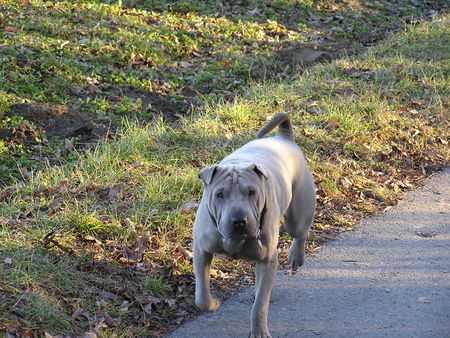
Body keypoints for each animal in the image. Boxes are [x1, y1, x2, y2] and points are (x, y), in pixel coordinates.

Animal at [193, 113, 316, 338]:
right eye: (220, 194)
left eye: (251, 192)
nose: (239, 220)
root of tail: (284, 138)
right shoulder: (201, 250)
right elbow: (201, 295)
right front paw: (212, 303)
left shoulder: (267, 258)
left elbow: (260, 305)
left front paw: (258, 330)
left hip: (297, 213)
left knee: (299, 233)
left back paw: (296, 256)